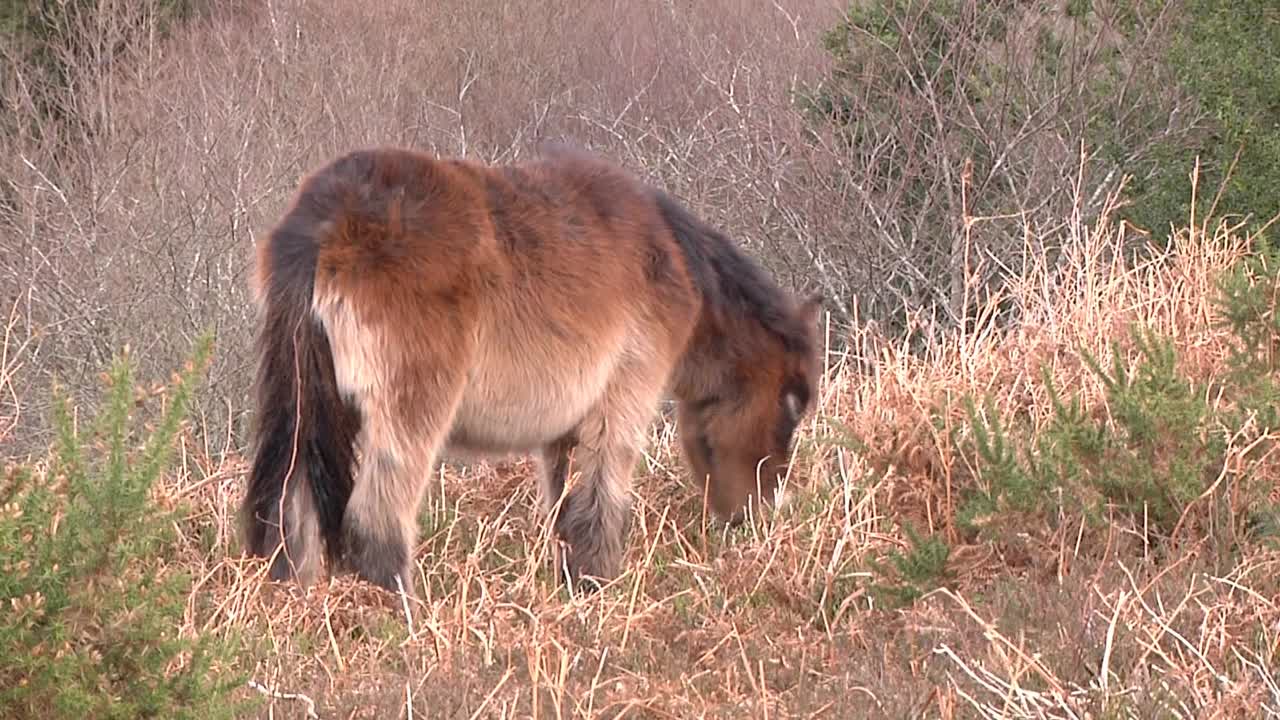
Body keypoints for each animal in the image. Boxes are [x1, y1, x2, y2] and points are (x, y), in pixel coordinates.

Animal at [240, 143, 823, 594]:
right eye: (793, 406)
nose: (758, 513)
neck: (673, 259)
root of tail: (327, 220)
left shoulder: (563, 429)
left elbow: (567, 508)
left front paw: (573, 584)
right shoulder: (621, 400)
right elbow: (601, 502)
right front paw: (599, 586)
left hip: (305, 402)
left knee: (291, 506)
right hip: (410, 407)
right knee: (377, 519)